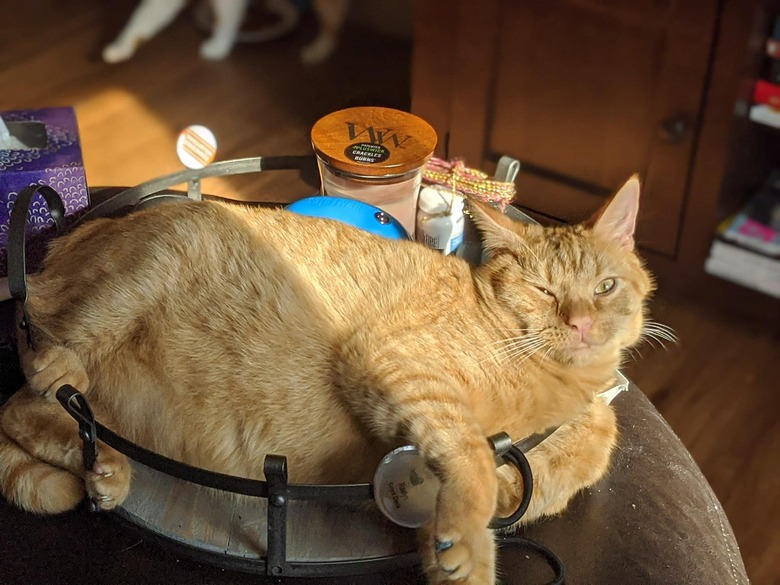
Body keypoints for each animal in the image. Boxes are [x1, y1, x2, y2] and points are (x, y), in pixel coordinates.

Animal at [0, 176, 652, 580]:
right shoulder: (396, 361)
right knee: (32, 387)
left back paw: (104, 471)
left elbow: (586, 445)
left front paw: (508, 495)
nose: (581, 323)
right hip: (136, 280)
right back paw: (82, 425)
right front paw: (469, 547)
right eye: (544, 291)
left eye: (604, 287)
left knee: (36, 416)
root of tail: (61, 244)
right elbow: (471, 459)